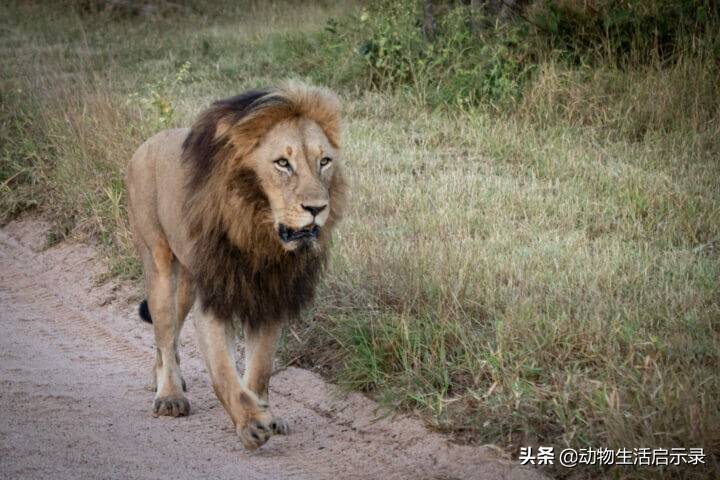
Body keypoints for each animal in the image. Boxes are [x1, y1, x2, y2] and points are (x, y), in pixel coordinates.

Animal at [126, 82, 346, 450]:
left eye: (324, 161)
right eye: (283, 163)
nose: (317, 208)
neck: (258, 231)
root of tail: (147, 142)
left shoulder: (268, 299)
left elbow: (258, 370)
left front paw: (265, 414)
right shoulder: (215, 300)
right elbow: (224, 371)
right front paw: (251, 424)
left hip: (189, 281)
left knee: (167, 335)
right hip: (159, 264)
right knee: (165, 333)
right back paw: (169, 394)